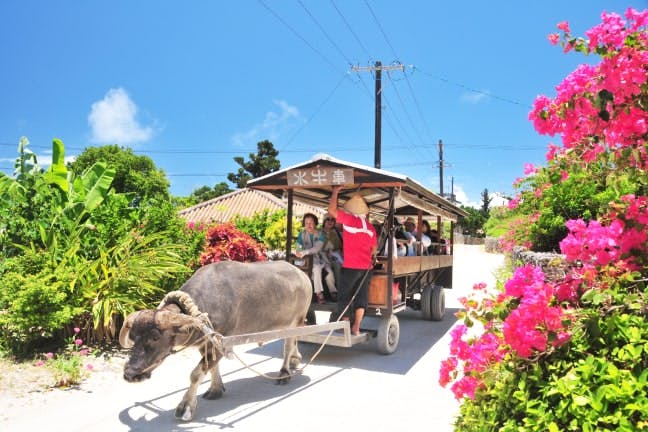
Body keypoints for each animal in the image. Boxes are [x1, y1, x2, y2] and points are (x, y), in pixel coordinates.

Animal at [123, 260, 316, 422]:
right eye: (133, 337)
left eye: (155, 337)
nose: (130, 374)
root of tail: (303, 276)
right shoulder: (208, 343)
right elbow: (212, 367)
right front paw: (215, 389)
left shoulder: (222, 342)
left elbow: (195, 374)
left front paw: (185, 407)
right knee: (294, 343)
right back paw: (295, 361)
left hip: (296, 321)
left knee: (288, 346)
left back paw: (284, 373)